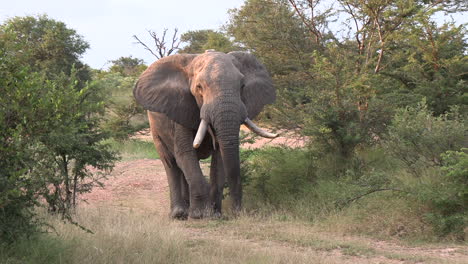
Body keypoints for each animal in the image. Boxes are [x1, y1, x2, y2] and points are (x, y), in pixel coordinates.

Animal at [133, 50, 276, 219]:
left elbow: (220, 158)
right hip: (155, 129)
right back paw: (179, 214)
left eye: (242, 86)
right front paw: (199, 215)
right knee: (171, 163)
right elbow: (185, 153)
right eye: (199, 87)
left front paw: (215, 215)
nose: (238, 212)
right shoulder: (180, 107)